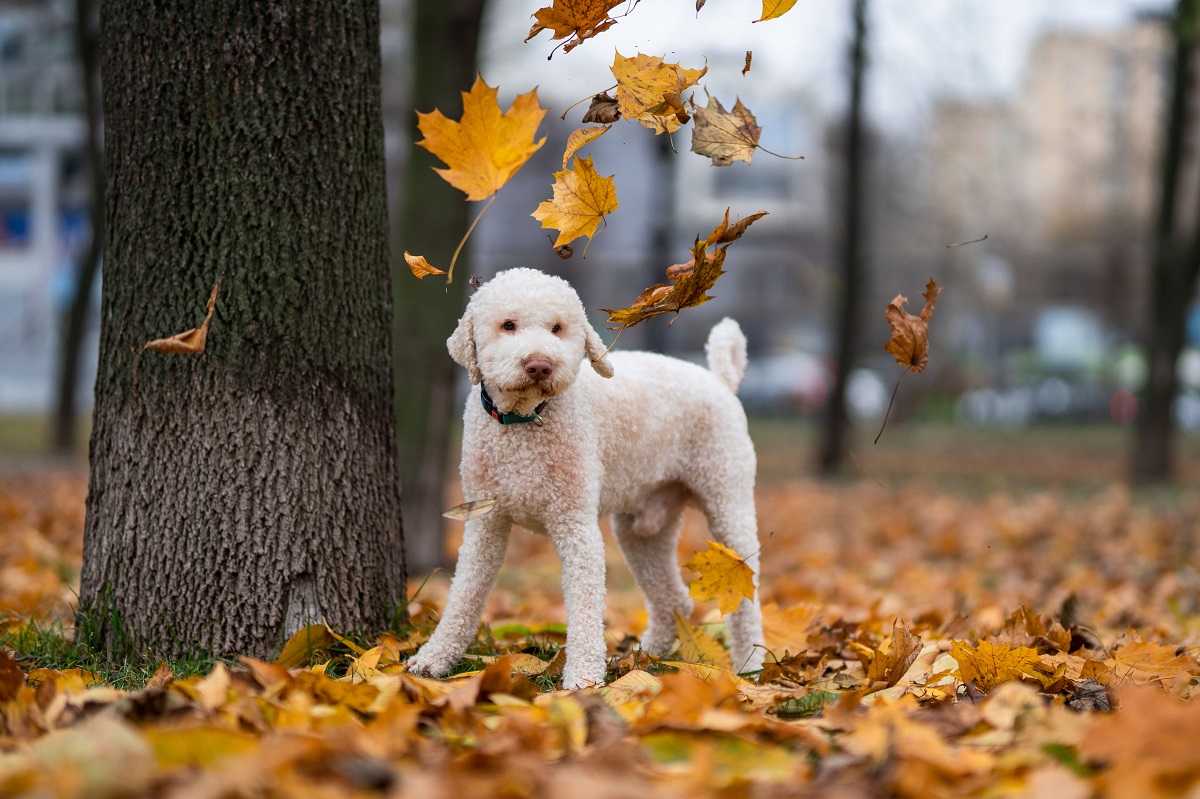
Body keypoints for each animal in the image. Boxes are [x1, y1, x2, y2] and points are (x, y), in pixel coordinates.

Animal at [408, 266, 763, 686]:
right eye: (508, 325)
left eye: (557, 328)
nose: (540, 365)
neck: (525, 422)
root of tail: (720, 381)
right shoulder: (484, 523)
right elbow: (463, 594)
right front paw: (433, 658)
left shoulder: (575, 524)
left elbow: (584, 602)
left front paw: (583, 679)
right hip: (642, 530)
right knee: (674, 599)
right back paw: (644, 658)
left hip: (727, 498)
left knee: (745, 592)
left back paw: (751, 666)